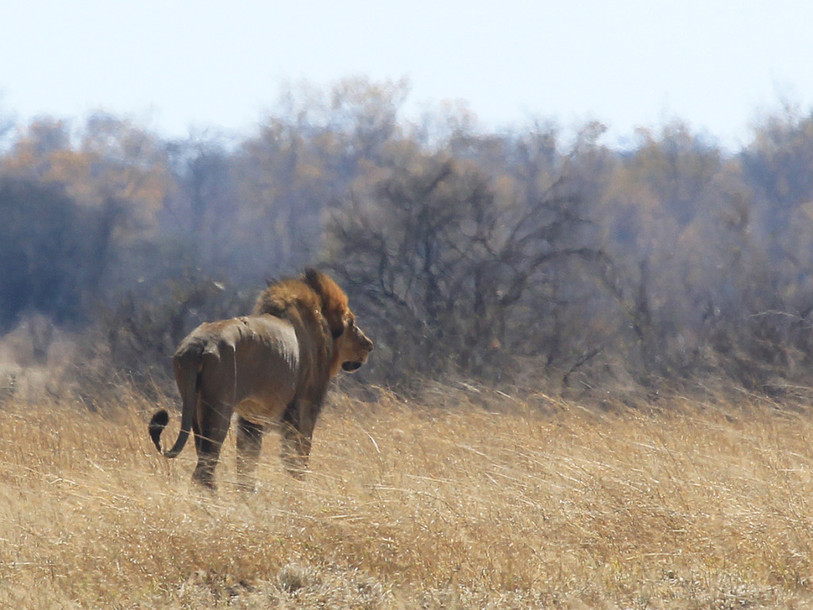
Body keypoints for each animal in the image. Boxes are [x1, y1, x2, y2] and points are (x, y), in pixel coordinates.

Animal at [148, 269, 373, 488]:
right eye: (352, 322)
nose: (369, 345)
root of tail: (199, 346)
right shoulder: (304, 412)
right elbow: (297, 465)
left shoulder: (251, 420)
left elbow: (246, 471)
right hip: (218, 408)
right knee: (203, 472)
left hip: (194, 407)